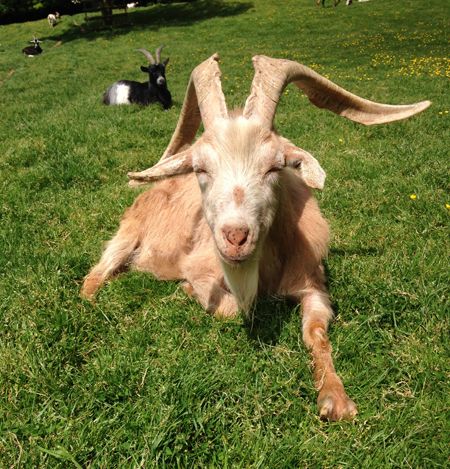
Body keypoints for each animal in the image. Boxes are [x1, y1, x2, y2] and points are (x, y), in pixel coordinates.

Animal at [82, 54, 430, 420]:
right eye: (201, 169)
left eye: (275, 167)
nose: (235, 237)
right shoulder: (201, 268)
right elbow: (231, 308)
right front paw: (186, 290)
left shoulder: (313, 284)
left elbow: (316, 331)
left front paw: (335, 398)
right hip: (126, 236)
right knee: (95, 275)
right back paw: (92, 300)